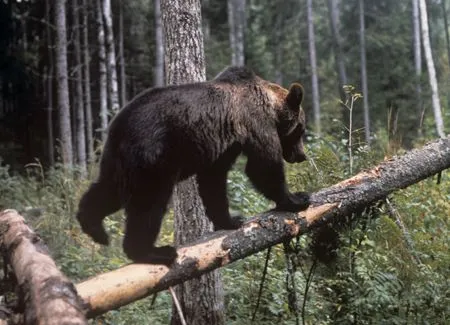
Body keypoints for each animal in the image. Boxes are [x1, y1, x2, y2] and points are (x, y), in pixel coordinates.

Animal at [76, 66, 310, 266]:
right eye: (301, 129)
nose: (302, 156)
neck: (271, 107)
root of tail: (119, 124)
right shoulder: (255, 123)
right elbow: (264, 166)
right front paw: (297, 198)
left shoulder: (223, 145)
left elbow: (213, 181)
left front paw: (230, 219)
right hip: (154, 156)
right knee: (149, 202)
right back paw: (152, 251)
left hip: (119, 161)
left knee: (109, 189)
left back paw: (94, 227)